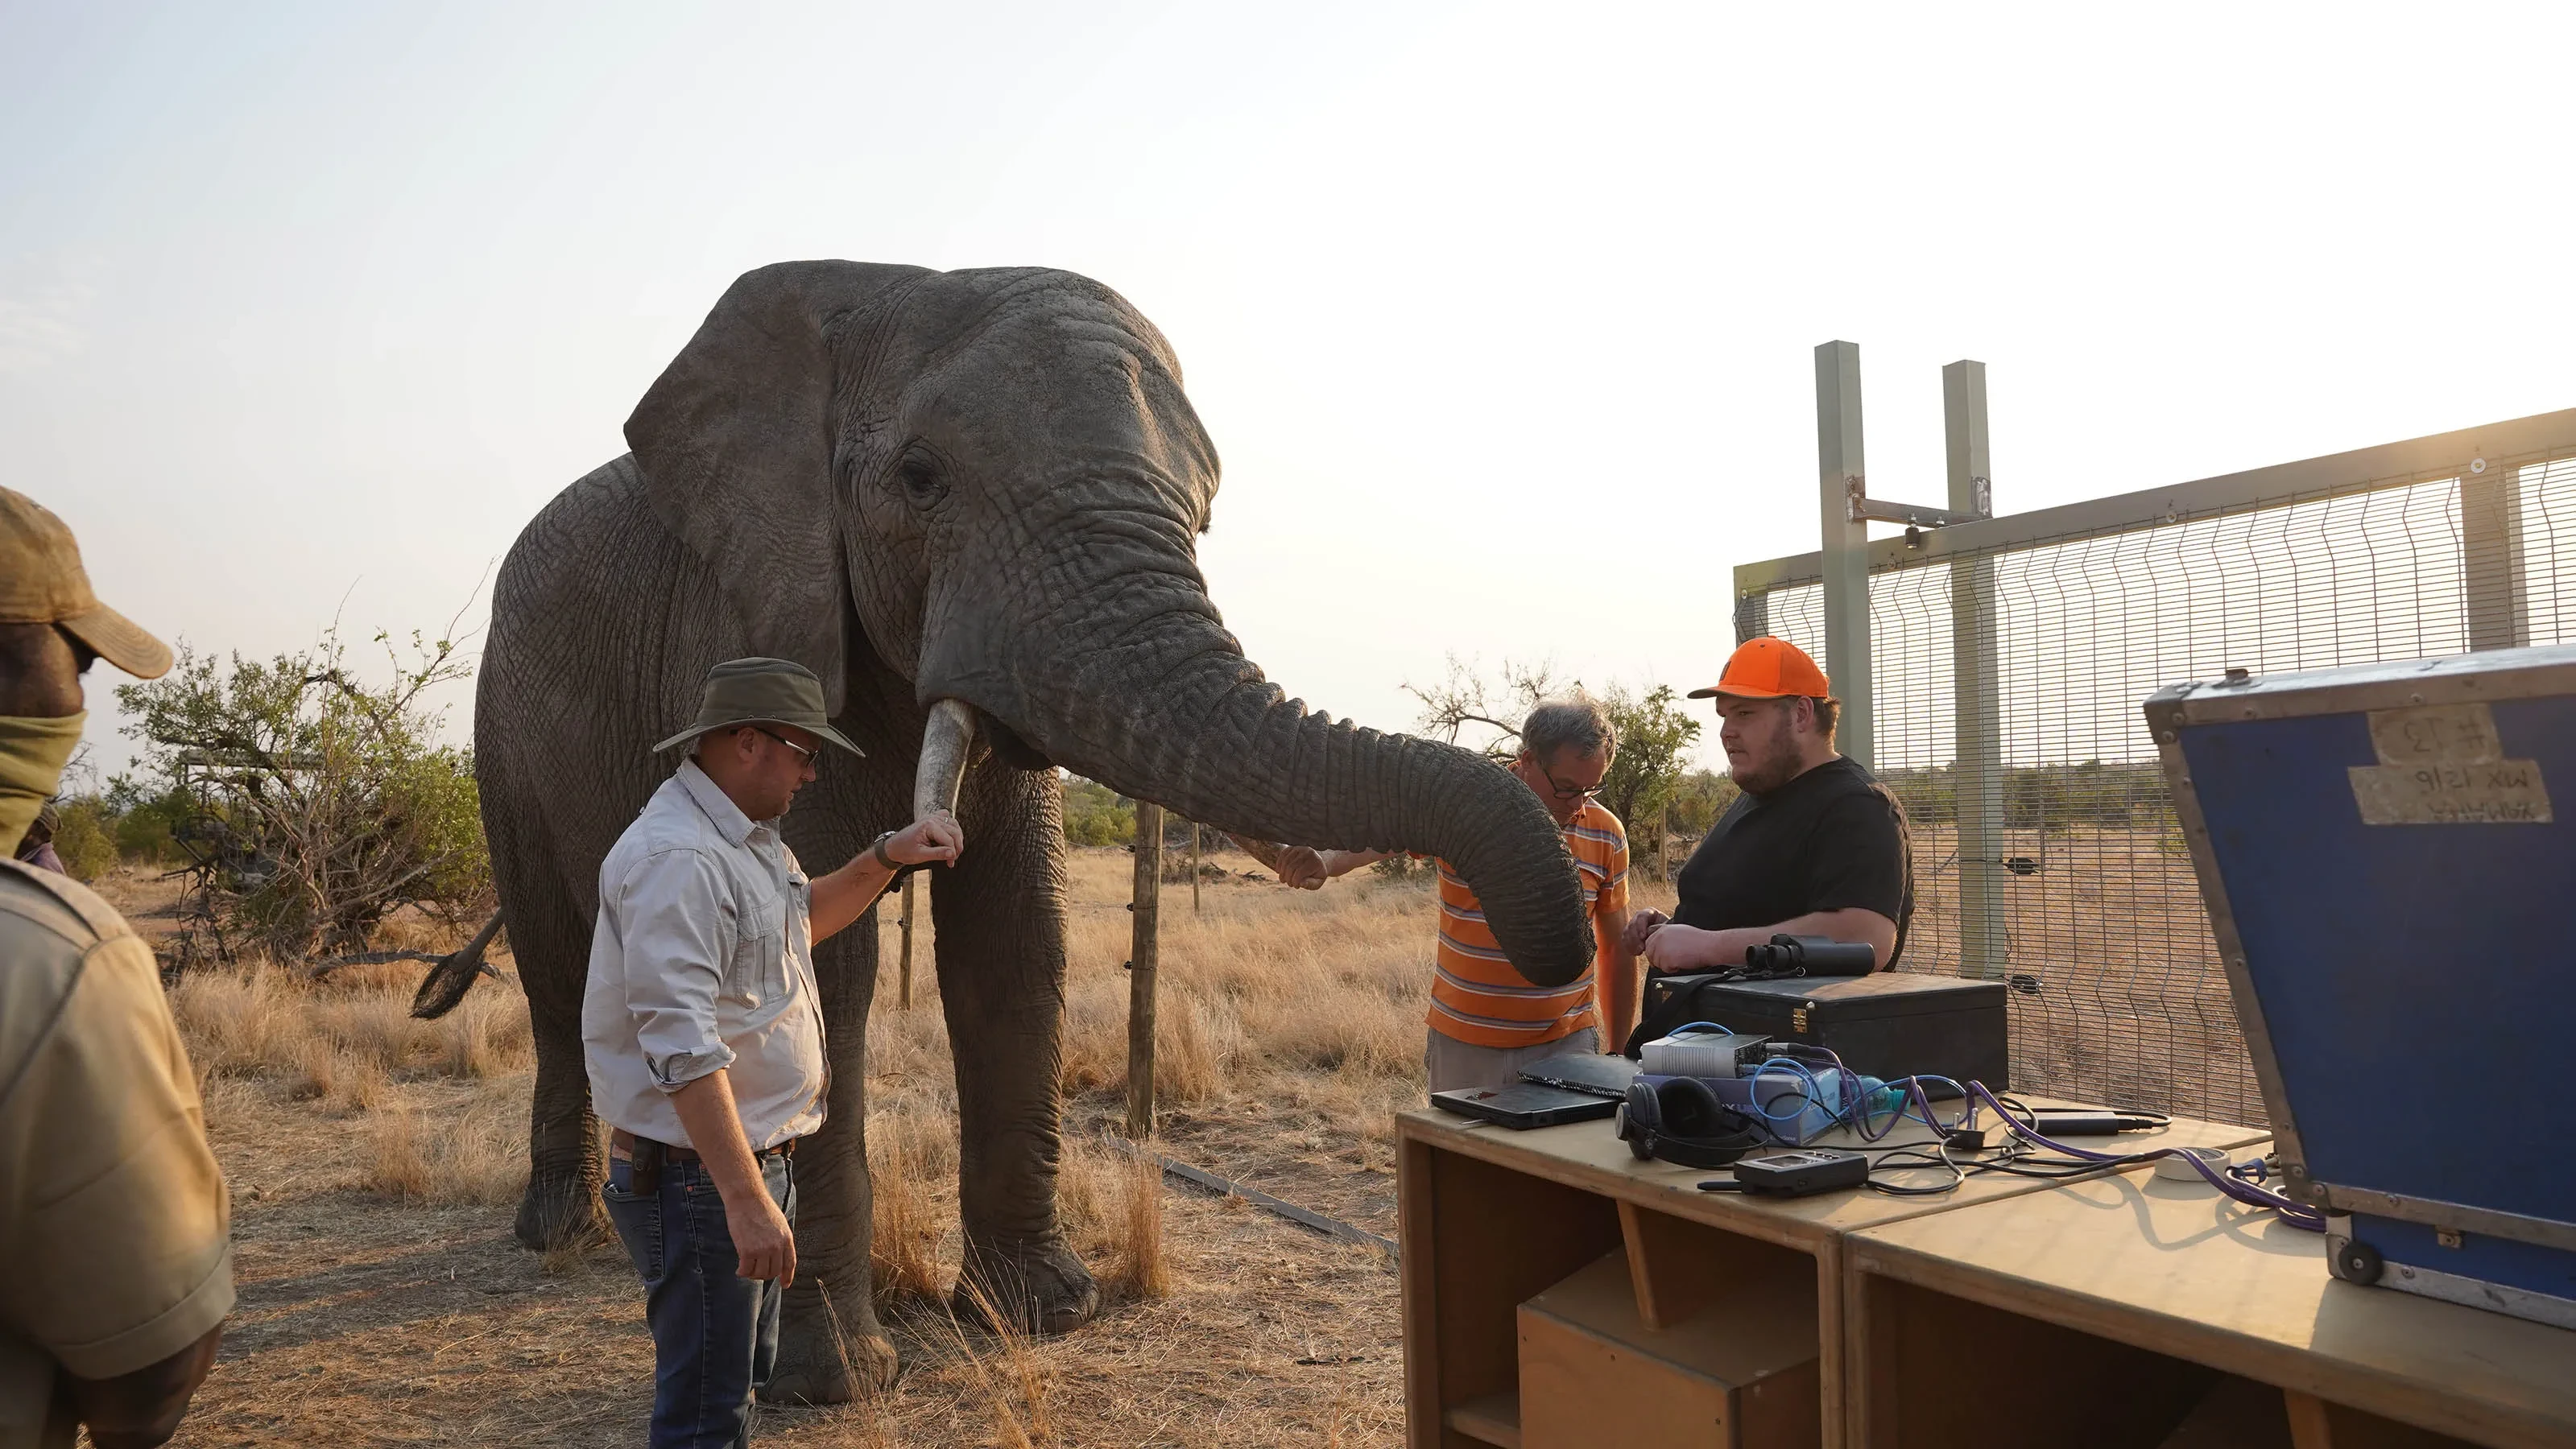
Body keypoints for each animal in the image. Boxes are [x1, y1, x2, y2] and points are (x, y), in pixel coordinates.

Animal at [463, 259, 1593, 1400]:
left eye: (1205, 515)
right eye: (919, 478)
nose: (1564, 949)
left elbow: (1015, 943)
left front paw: (1043, 1313)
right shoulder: (752, 617)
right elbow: (827, 970)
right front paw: (835, 1384)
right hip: (500, 732)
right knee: (557, 968)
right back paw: (563, 1232)